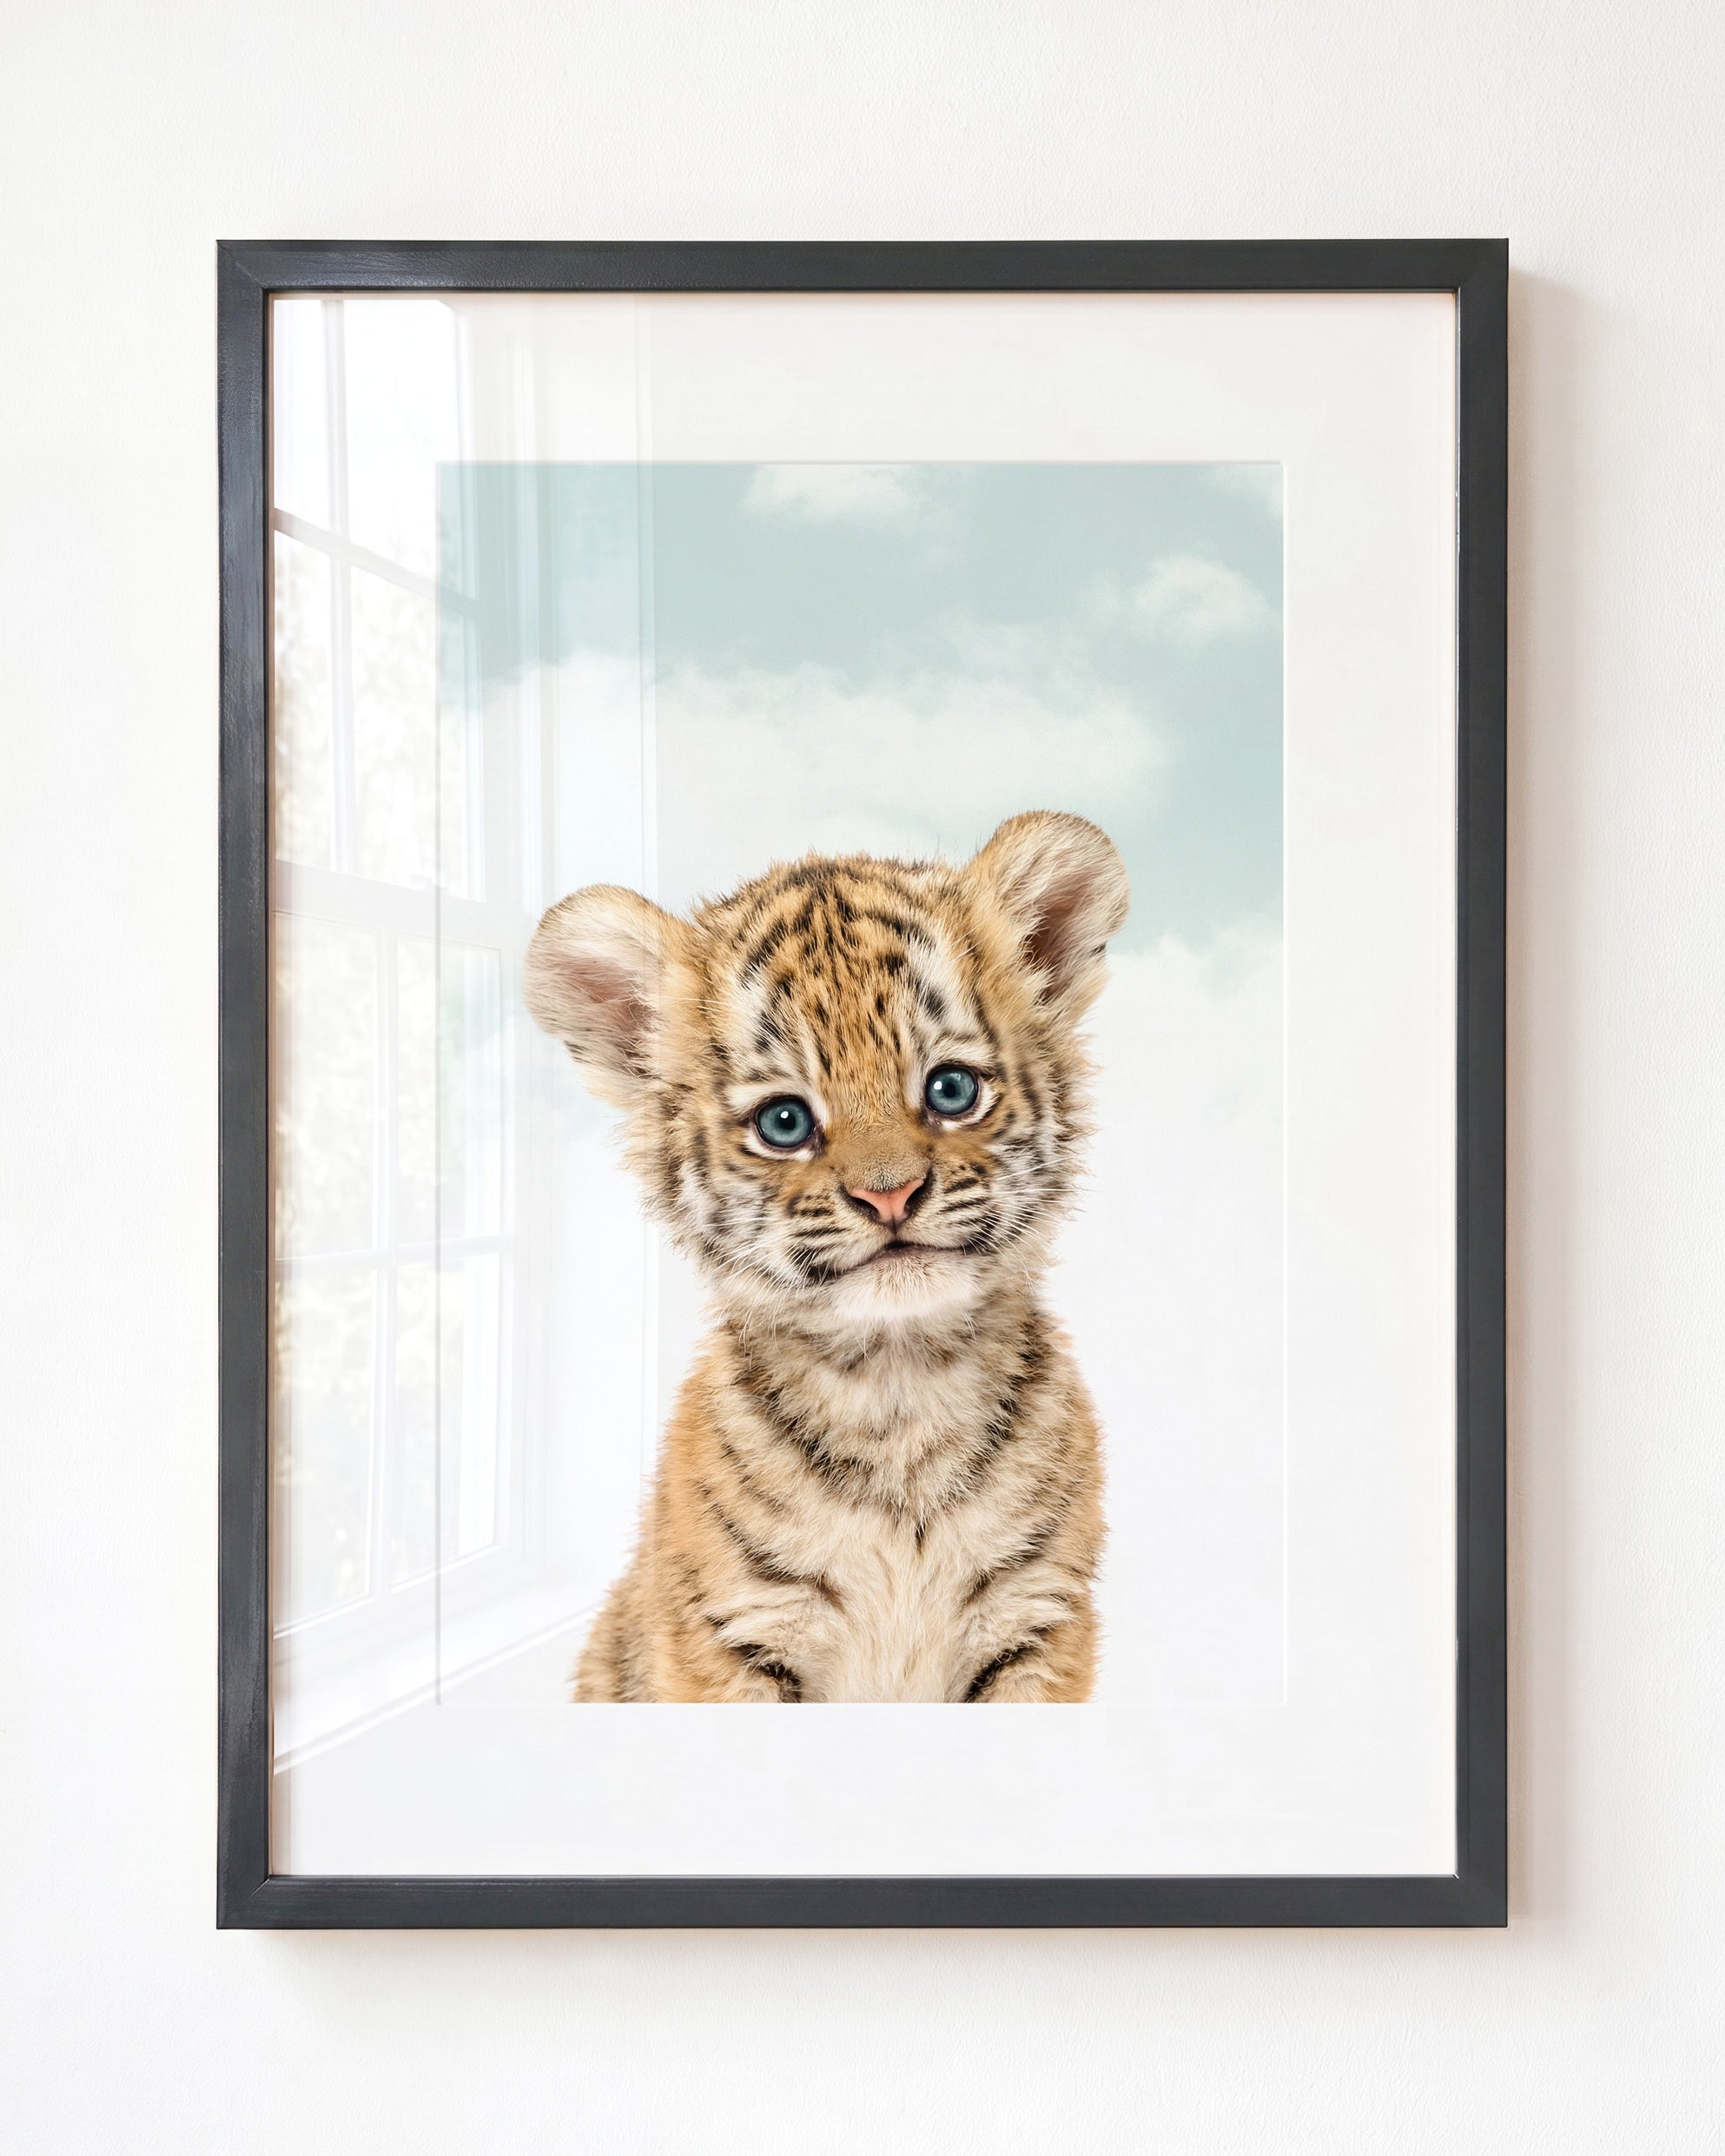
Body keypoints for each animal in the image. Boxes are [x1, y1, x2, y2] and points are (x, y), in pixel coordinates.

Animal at [523, 809, 1129, 1703]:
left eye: (951, 1090)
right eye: (784, 1122)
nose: (890, 1195)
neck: (900, 1389)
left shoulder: (1037, 1620)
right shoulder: (732, 1636)